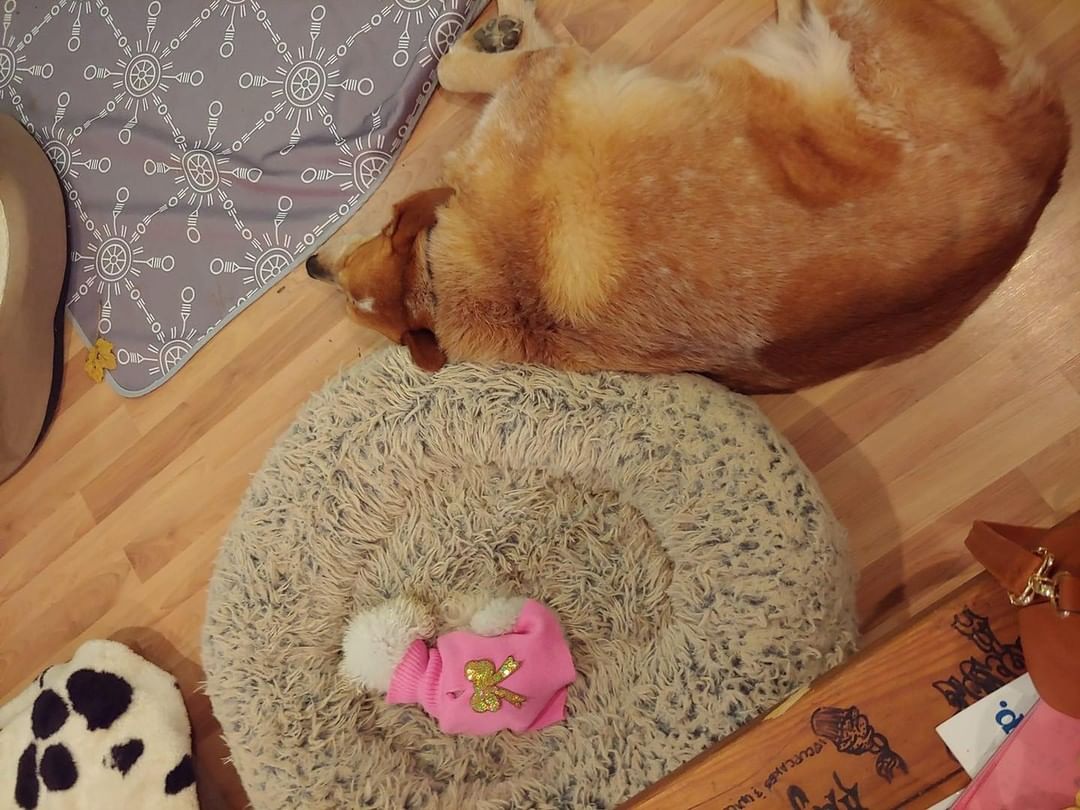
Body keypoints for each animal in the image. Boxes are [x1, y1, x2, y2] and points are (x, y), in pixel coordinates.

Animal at [307, 0, 1069, 392]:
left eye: (370, 238)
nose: (312, 265)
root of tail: (1052, 150)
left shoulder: (543, 75)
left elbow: (453, 65)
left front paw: (499, 25)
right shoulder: (548, 74)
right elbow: (466, 64)